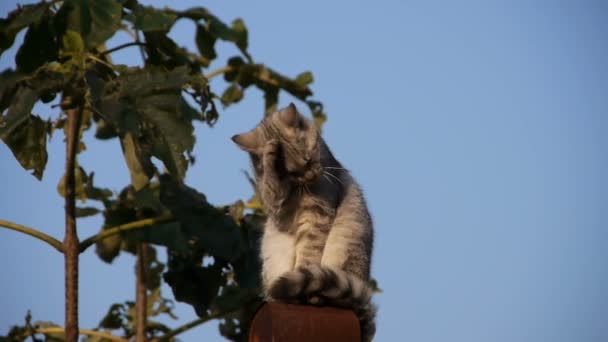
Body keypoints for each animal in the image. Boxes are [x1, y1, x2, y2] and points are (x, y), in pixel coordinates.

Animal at [232, 103, 376, 340]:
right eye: (291, 172)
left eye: (308, 159)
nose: (311, 176)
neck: (296, 190)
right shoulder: (275, 204)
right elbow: (272, 185)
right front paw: (271, 157)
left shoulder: (317, 216)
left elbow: (308, 257)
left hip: (343, 249)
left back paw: (312, 296)